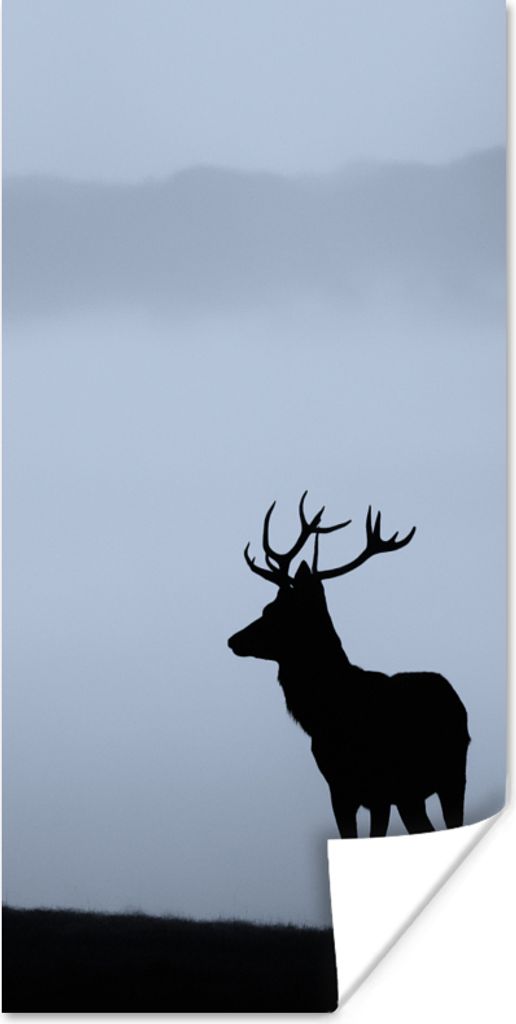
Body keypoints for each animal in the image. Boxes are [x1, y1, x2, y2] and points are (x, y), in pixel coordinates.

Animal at [228, 493, 470, 838]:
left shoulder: (381, 789)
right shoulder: (339, 789)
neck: (331, 715)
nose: (233, 639)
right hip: (412, 796)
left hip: (452, 775)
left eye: (273, 610)